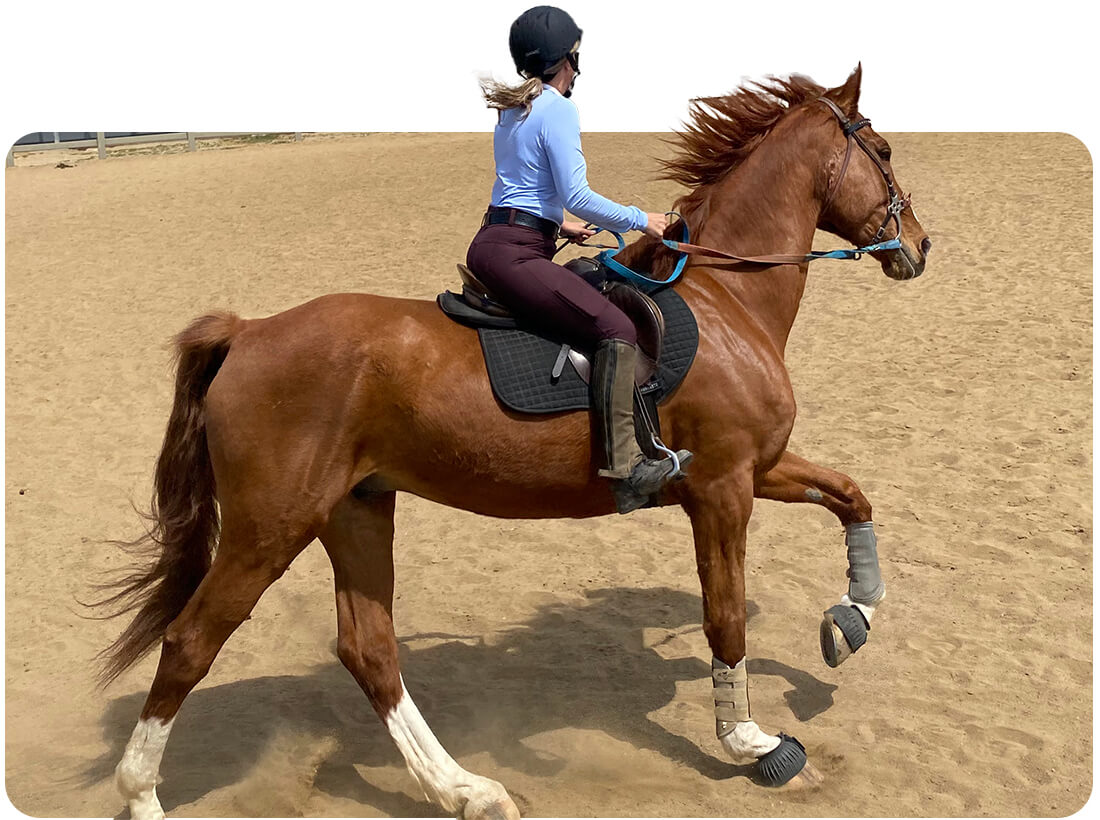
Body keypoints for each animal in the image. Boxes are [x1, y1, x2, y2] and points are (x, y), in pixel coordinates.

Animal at [99, 65, 930, 819]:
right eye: (885, 151)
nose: (920, 246)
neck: (728, 300)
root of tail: (248, 332)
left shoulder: (758, 467)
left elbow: (852, 495)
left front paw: (851, 620)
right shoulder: (724, 487)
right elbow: (725, 613)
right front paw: (754, 742)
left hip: (355, 509)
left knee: (369, 649)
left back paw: (467, 790)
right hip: (270, 526)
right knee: (191, 641)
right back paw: (143, 796)